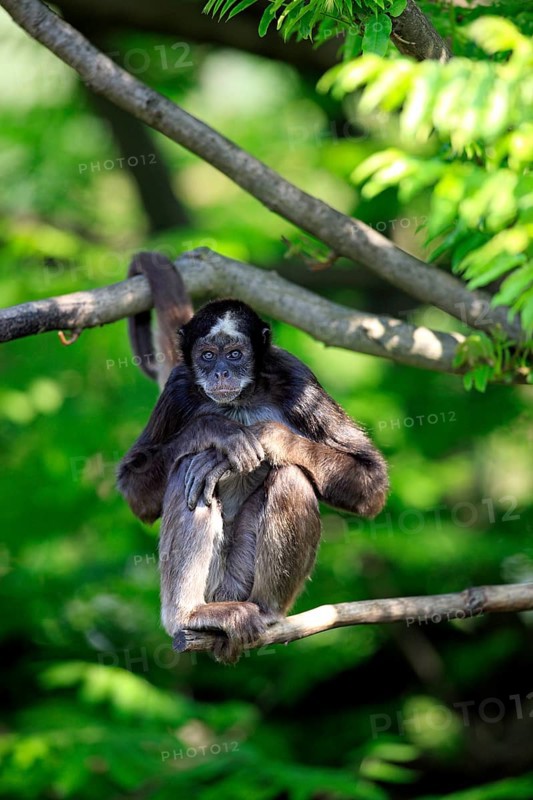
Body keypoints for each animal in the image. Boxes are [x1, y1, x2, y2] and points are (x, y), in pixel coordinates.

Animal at [117, 252, 388, 663]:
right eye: (207, 356)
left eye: (235, 354)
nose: (221, 372)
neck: (241, 400)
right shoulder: (179, 386)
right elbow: (136, 491)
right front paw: (217, 431)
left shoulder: (297, 378)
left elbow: (372, 482)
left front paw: (267, 437)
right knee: (186, 470)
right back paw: (189, 615)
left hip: (243, 580)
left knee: (290, 476)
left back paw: (267, 611)